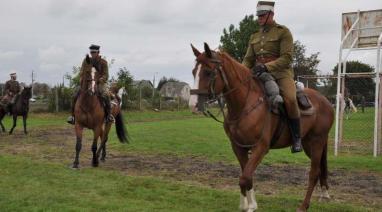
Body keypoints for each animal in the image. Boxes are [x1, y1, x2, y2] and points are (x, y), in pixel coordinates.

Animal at [190, 43, 332, 212]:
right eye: (193, 72)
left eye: (207, 72)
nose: (193, 105)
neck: (245, 104)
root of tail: (326, 101)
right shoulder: (238, 147)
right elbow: (247, 176)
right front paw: (247, 204)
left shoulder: (260, 147)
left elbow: (245, 177)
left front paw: (250, 206)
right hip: (308, 144)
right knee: (320, 170)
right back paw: (324, 194)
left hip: (317, 142)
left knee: (314, 173)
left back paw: (304, 206)